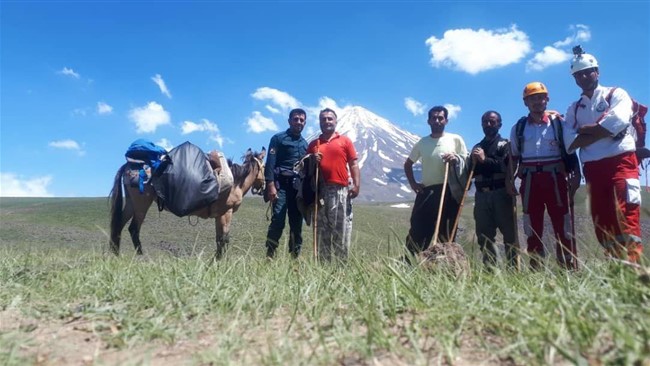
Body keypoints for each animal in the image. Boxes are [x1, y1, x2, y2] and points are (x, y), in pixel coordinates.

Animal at [107, 142, 264, 258]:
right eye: (264, 165)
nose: (262, 187)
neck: (236, 182)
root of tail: (129, 165)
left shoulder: (219, 215)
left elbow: (219, 239)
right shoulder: (227, 212)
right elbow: (224, 239)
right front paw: (220, 262)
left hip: (131, 203)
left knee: (119, 225)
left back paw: (116, 255)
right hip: (141, 205)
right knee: (133, 229)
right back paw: (141, 257)